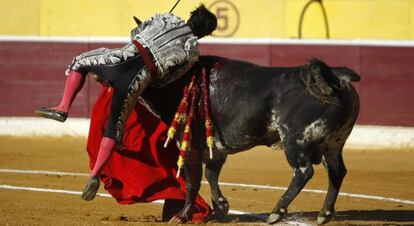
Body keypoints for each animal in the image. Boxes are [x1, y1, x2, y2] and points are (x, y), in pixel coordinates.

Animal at [141, 55, 360, 224]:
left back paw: (276, 212)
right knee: (336, 171)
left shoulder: (190, 146)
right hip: (332, 144)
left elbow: (192, 182)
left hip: (295, 140)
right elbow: (211, 174)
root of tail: (336, 77)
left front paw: (182, 216)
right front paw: (221, 207)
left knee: (303, 172)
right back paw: (324, 214)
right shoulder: (217, 147)